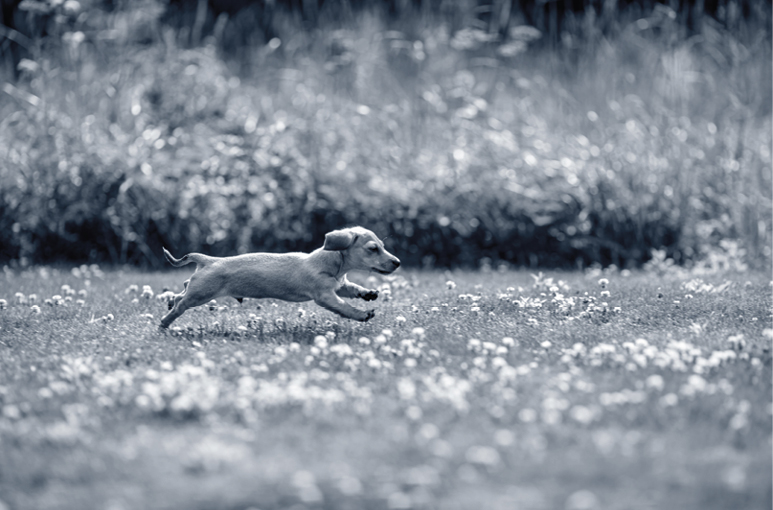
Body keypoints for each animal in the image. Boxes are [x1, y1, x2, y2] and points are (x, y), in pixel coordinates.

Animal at [157, 226, 398, 328]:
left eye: (383, 245)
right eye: (373, 248)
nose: (398, 262)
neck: (329, 264)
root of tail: (208, 260)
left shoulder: (339, 285)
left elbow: (353, 288)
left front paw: (368, 293)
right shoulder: (324, 296)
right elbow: (344, 307)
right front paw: (362, 314)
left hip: (197, 290)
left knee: (181, 292)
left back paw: (169, 303)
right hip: (201, 294)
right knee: (181, 303)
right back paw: (165, 321)